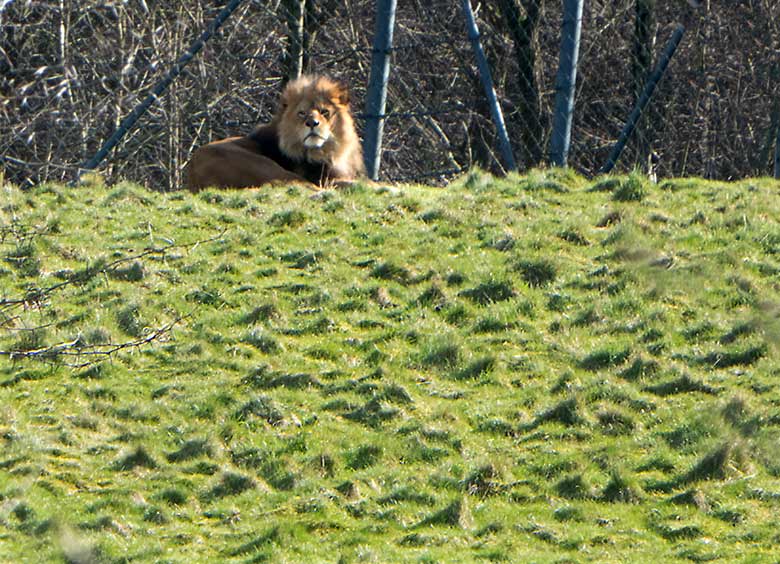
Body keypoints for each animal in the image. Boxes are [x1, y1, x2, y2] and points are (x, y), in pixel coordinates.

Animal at [186, 75, 366, 192]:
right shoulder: (322, 177)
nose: (312, 123)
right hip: (259, 164)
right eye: (301, 113)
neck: (329, 151)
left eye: (324, 112)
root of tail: (192, 174)